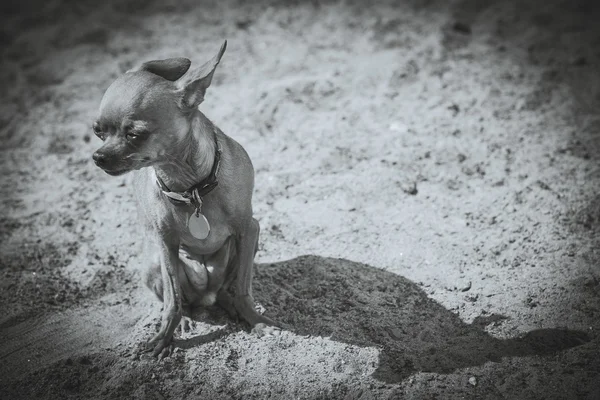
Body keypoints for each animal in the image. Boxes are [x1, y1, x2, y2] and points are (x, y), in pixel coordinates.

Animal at [91, 41, 278, 360]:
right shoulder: (166, 244)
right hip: (154, 262)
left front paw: (255, 320)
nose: (98, 157)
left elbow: (243, 288)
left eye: (135, 134)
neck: (191, 188)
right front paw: (163, 338)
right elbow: (172, 300)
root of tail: (207, 295)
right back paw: (186, 322)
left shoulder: (248, 230)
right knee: (183, 301)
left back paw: (231, 308)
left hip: (248, 246)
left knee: (227, 291)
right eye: (98, 131)